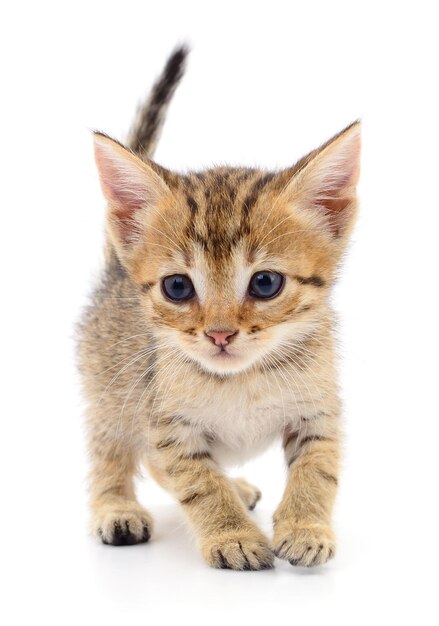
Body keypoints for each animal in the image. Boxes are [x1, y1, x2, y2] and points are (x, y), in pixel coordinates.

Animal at [78, 46, 360, 568]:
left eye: (265, 283)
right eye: (177, 288)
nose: (220, 334)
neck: (242, 381)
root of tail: (114, 274)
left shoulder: (319, 410)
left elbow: (319, 469)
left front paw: (306, 525)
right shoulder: (168, 424)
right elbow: (197, 481)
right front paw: (233, 536)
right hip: (108, 393)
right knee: (112, 453)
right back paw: (116, 507)